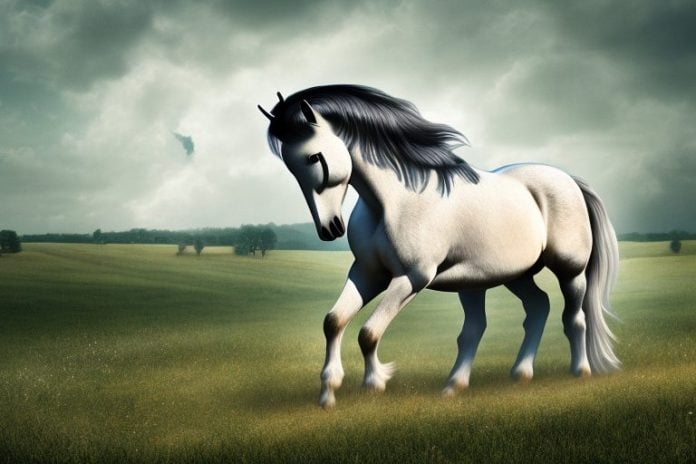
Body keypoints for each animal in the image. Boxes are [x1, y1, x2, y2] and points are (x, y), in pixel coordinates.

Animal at [258, 85, 620, 409]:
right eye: (291, 166)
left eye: (314, 157)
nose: (330, 228)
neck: (394, 201)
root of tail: (569, 179)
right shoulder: (368, 273)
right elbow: (334, 321)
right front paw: (328, 392)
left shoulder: (412, 278)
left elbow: (369, 332)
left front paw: (375, 383)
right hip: (511, 276)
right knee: (534, 309)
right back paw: (502, 377)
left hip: (570, 271)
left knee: (574, 318)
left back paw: (579, 371)